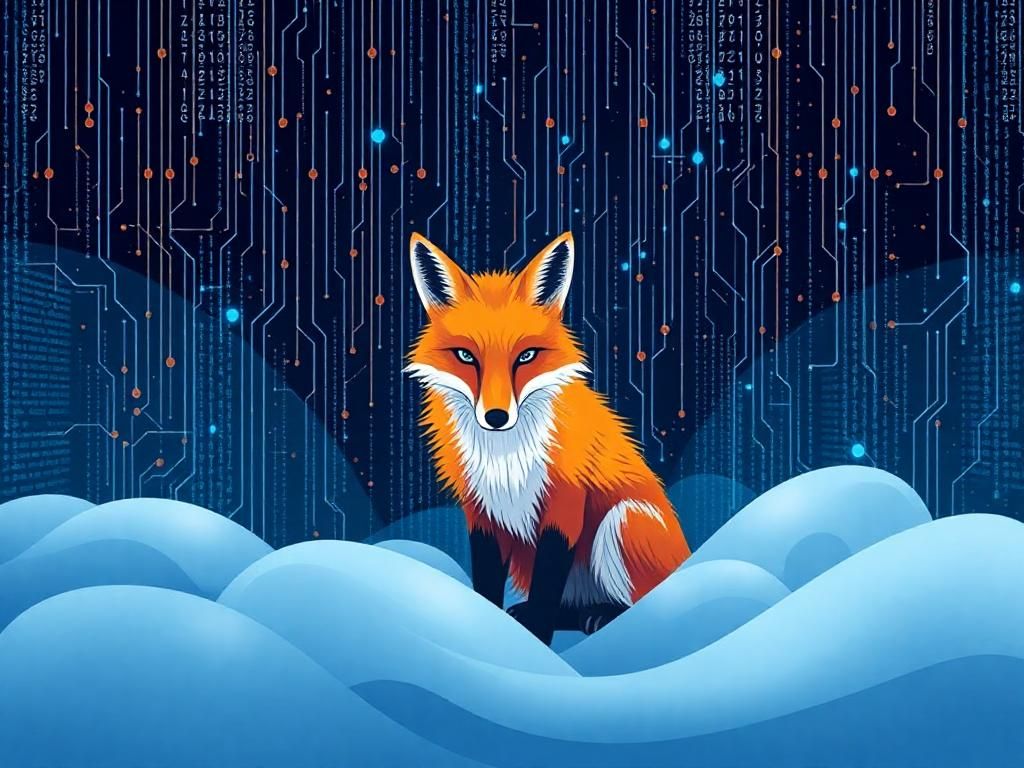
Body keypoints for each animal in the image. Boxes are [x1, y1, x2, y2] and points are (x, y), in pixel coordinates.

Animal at [405, 231, 690, 645]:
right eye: (465, 356)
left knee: (641, 608)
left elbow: (548, 579)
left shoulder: (565, 502)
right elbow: (488, 579)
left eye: (526, 356)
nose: (496, 417)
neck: (505, 458)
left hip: (623, 520)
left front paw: (536, 637)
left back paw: (601, 615)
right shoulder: (481, 509)